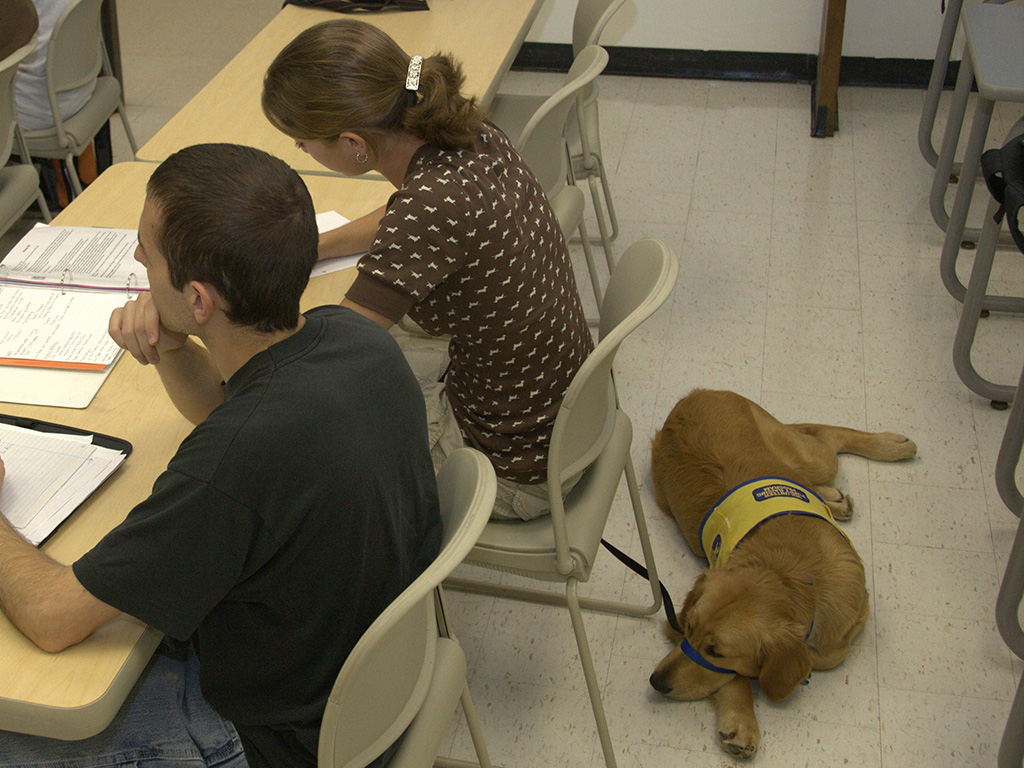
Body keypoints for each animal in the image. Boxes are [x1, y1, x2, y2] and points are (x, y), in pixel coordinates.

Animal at [647, 387, 921, 761]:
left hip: (811, 457)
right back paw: (839, 494)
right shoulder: (674, 618)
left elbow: (803, 661)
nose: (656, 681)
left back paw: (888, 447)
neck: (788, 574)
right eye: (687, 627)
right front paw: (743, 721)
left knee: (825, 435)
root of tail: (695, 394)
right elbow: (738, 679)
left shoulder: (846, 629)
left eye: (717, 652)